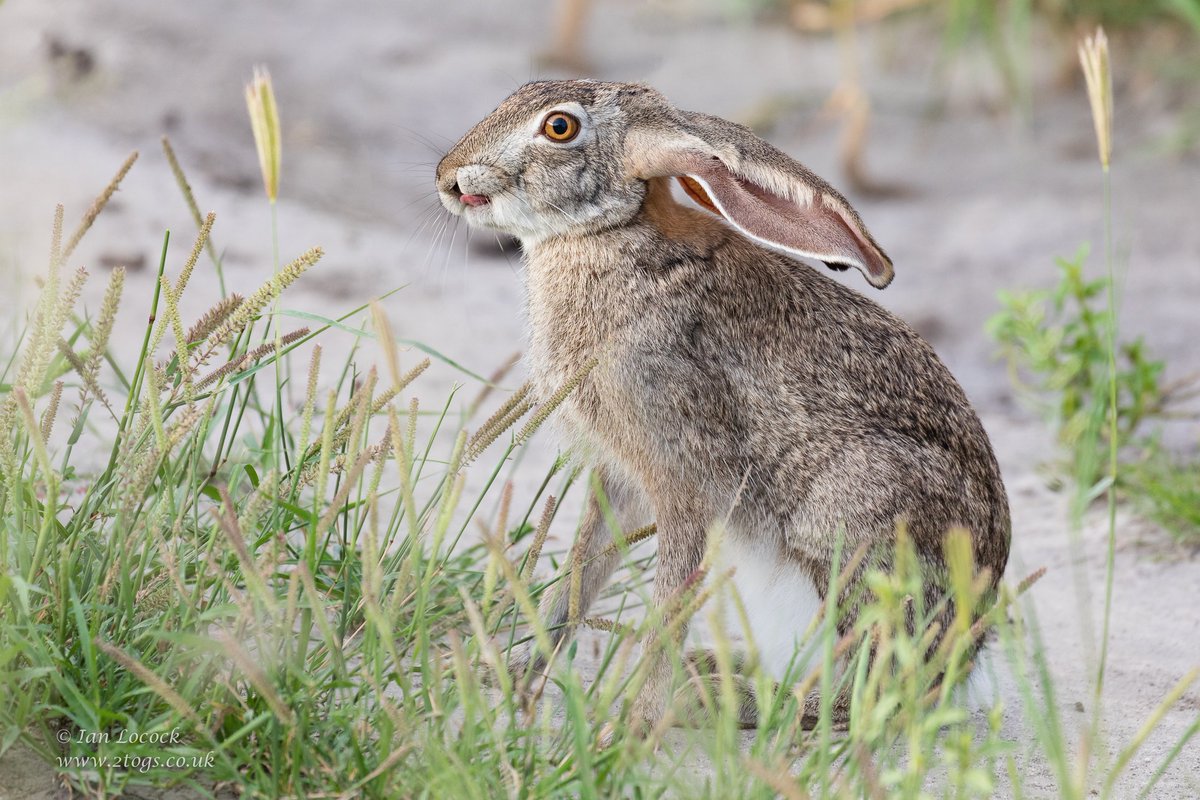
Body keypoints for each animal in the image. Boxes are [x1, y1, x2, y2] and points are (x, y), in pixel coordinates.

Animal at [435, 80, 1010, 737]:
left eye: (560, 128)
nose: (447, 177)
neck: (606, 234)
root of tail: (964, 653)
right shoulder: (621, 475)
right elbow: (581, 574)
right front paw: (511, 676)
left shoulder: (685, 479)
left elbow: (670, 600)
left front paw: (631, 726)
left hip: (853, 519)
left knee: (876, 687)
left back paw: (717, 698)